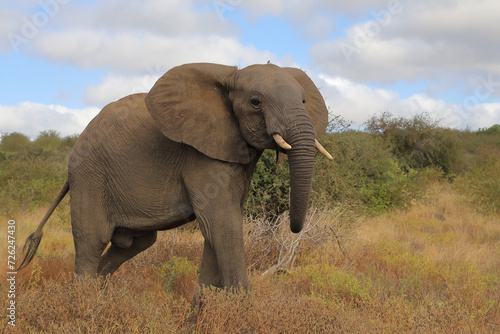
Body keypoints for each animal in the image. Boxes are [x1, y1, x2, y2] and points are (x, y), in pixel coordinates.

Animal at [18, 62, 332, 292]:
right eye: (256, 102)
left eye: (304, 100)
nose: (294, 229)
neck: (229, 77)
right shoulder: (200, 155)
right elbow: (222, 224)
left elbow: (217, 231)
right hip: (89, 176)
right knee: (91, 242)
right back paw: (85, 306)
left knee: (132, 244)